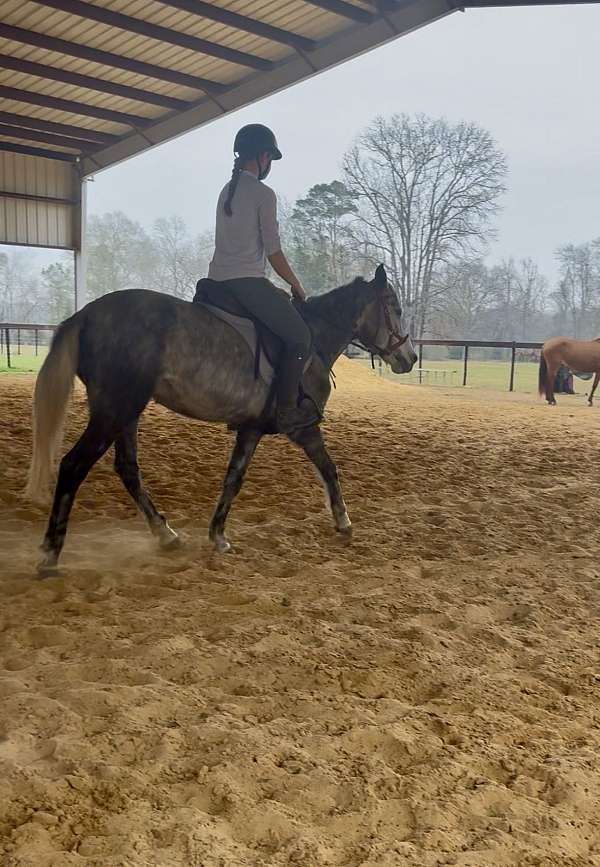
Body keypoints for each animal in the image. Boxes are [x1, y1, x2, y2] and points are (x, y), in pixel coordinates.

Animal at [26, 264, 417, 576]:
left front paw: (218, 535)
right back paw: (50, 554)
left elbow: (233, 478)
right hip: (115, 410)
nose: (410, 358)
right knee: (73, 466)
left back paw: (165, 534)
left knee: (127, 469)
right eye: (395, 308)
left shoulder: (251, 428)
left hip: (125, 413)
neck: (315, 341)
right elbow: (329, 468)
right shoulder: (303, 427)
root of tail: (86, 314)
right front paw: (344, 521)